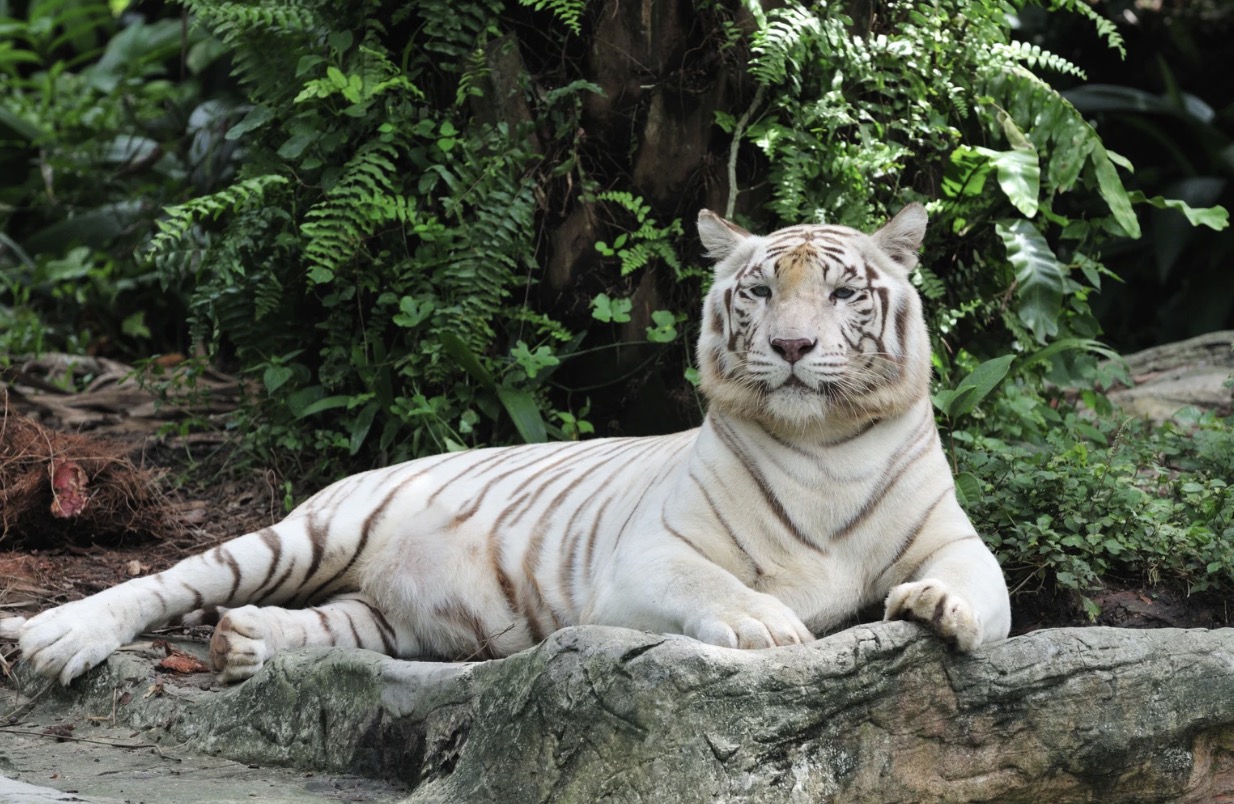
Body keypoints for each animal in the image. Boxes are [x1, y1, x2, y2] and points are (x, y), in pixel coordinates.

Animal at [1, 203, 1011, 686]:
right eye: (760, 291)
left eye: (842, 294)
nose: (794, 347)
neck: (825, 450)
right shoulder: (645, 561)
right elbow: (713, 585)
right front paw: (769, 625)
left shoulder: (952, 536)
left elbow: (986, 590)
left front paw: (940, 609)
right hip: (307, 533)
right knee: (170, 581)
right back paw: (59, 639)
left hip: (388, 613)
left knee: (329, 624)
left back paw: (246, 645)